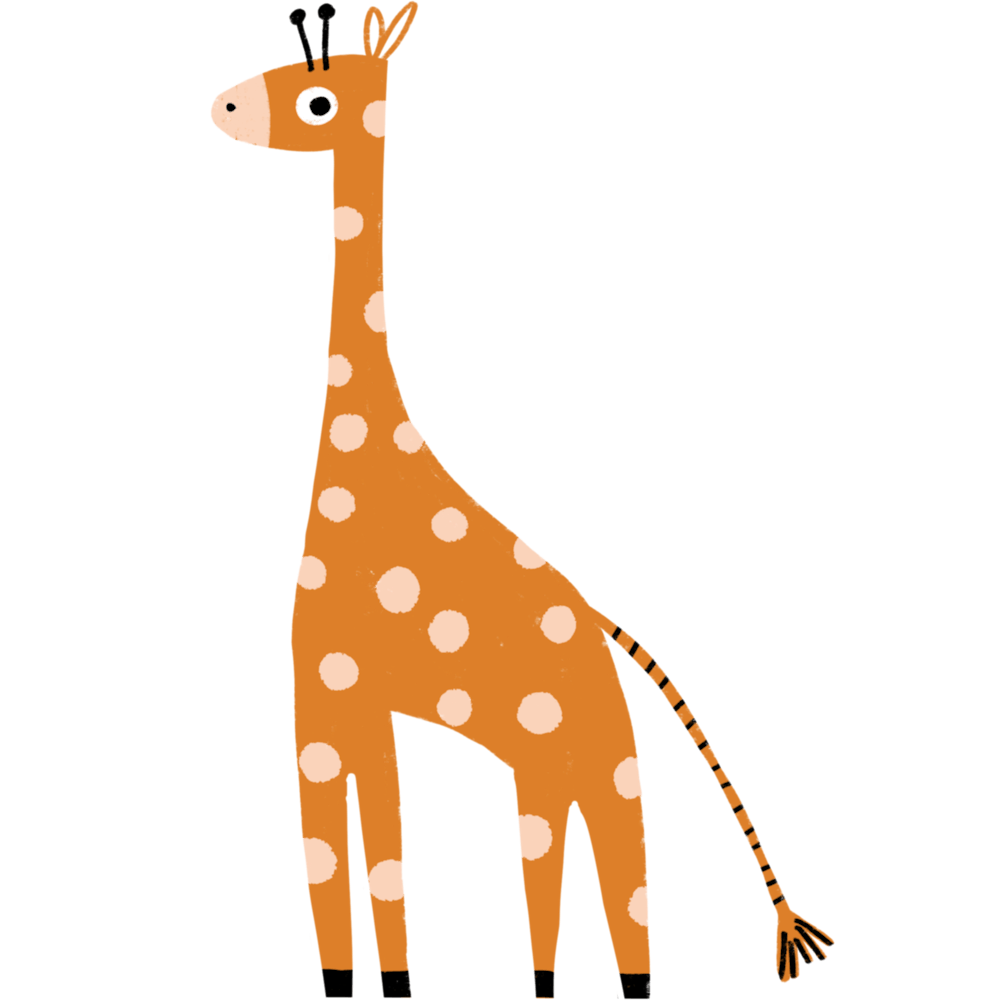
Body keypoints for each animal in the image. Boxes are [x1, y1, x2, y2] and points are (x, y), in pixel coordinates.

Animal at [208, 5, 836, 997]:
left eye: (318, 99)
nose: (224, 106)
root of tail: (604, 634)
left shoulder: (341, 694)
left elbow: (373, 867)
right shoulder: (334, 705)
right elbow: (357, 868)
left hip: (596, 759)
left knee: (627, 905)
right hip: (552, 767)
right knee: (564, 899)